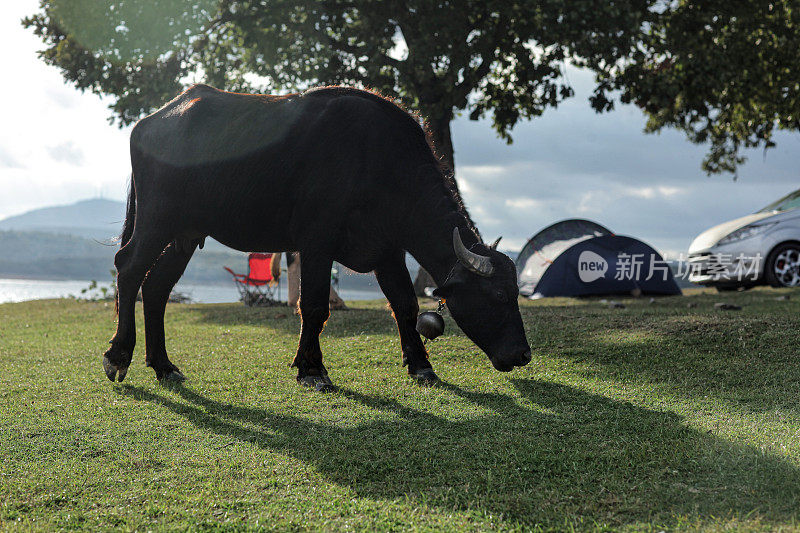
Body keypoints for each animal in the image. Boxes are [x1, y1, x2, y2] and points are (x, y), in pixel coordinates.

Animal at [101, 85, 532, 388]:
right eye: (497, 295)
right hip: (157, 219)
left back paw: (163, 366)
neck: (378, 161)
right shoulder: (316, 242)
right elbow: (313, 306)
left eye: (516, 293)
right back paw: (118, 356)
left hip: (187, 233)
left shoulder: (388, 250)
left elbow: (405, 304)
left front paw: (421, 365)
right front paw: (311, 368)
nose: (523, 355)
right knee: (129, 267)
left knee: (156, 286)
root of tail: (151, 122)